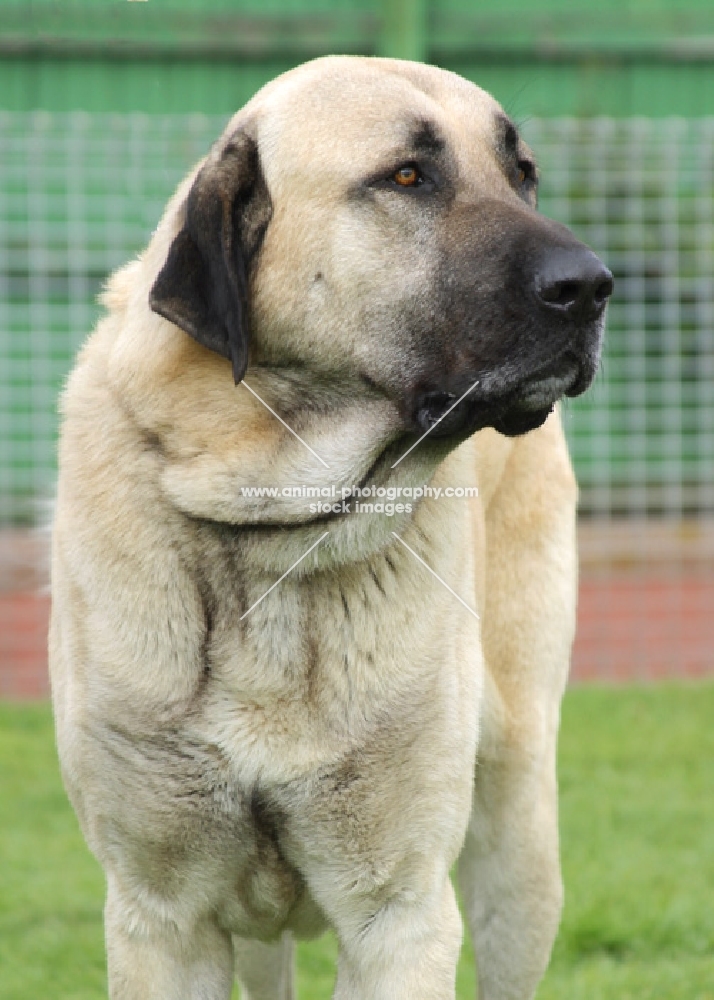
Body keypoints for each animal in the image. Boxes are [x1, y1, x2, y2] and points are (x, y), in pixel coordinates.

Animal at [50, 56, 608, 1000]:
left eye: (522, 175)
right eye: (408, 177)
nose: (592, 286)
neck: (272, 525)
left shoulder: (401, 913)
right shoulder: (162, 918)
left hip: (519, 838)